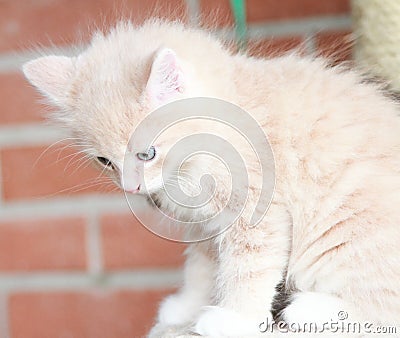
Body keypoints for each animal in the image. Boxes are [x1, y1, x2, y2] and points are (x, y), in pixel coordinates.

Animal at [22, 19, 400, 336]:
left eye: (148, 154)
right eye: (105, 161)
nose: (132, 187)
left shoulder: (257, 215)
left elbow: (247, 271)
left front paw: (234, 320)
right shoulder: (204, 228)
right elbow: (202, 270)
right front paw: (186, 307)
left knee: (383, 309)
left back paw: (308, 309)